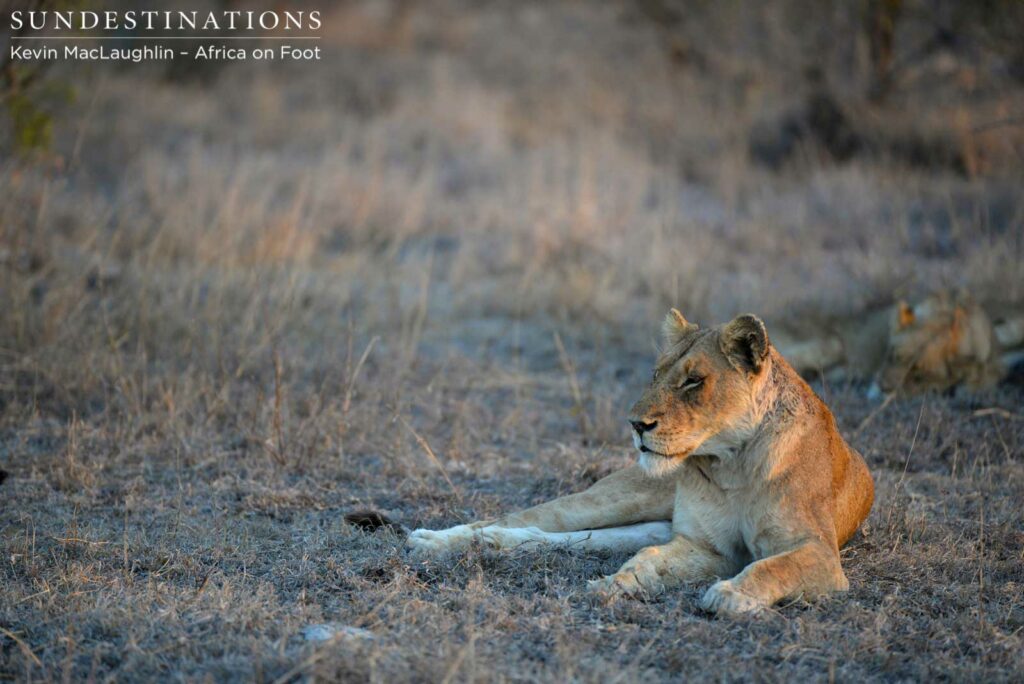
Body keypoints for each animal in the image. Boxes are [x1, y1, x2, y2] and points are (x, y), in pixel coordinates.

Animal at [407, 310, 875, 615]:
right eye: (656, 374)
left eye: (693, 381)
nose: (636, 424)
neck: (731, 465)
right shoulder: (706, 547)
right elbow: (649, 559)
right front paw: (613, 585)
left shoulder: (819, 555)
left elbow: (774, 565)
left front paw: (730, 596)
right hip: (617, 497)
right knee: (521, 519)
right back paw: (435, 540)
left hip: (647, 521)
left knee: (566, 537)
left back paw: (484, 544)